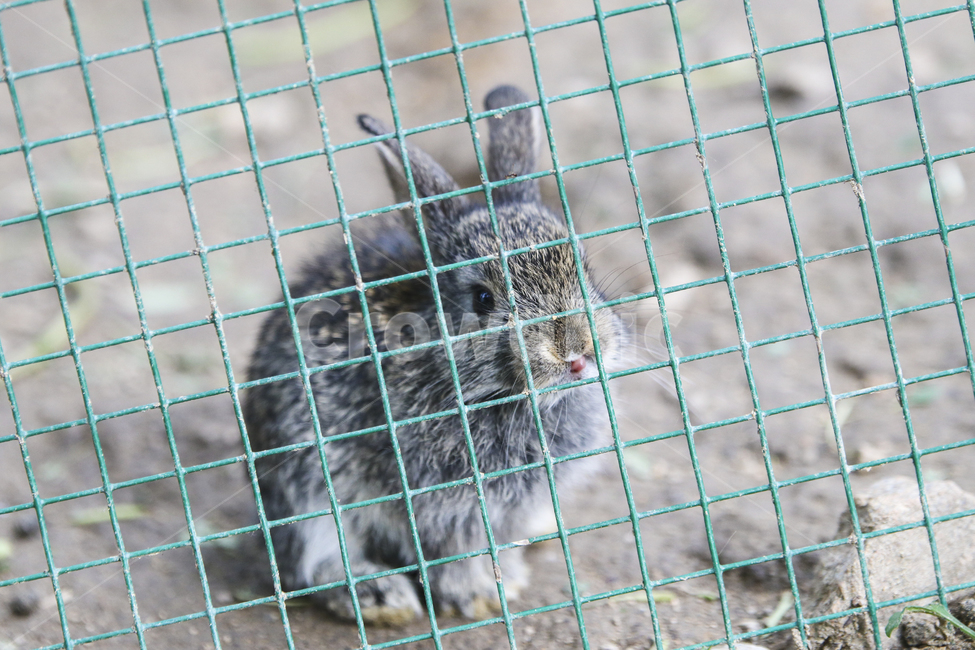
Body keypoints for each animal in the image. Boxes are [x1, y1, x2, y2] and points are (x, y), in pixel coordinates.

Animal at [243, 84, 623, 625]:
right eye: (482, 299)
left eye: (584, 269)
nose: (576, 353)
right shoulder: (439, 503)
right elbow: (451, 553)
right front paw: (478, 595)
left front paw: (506, 580)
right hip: (307, 485)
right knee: (309, 562)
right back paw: (381, 596)